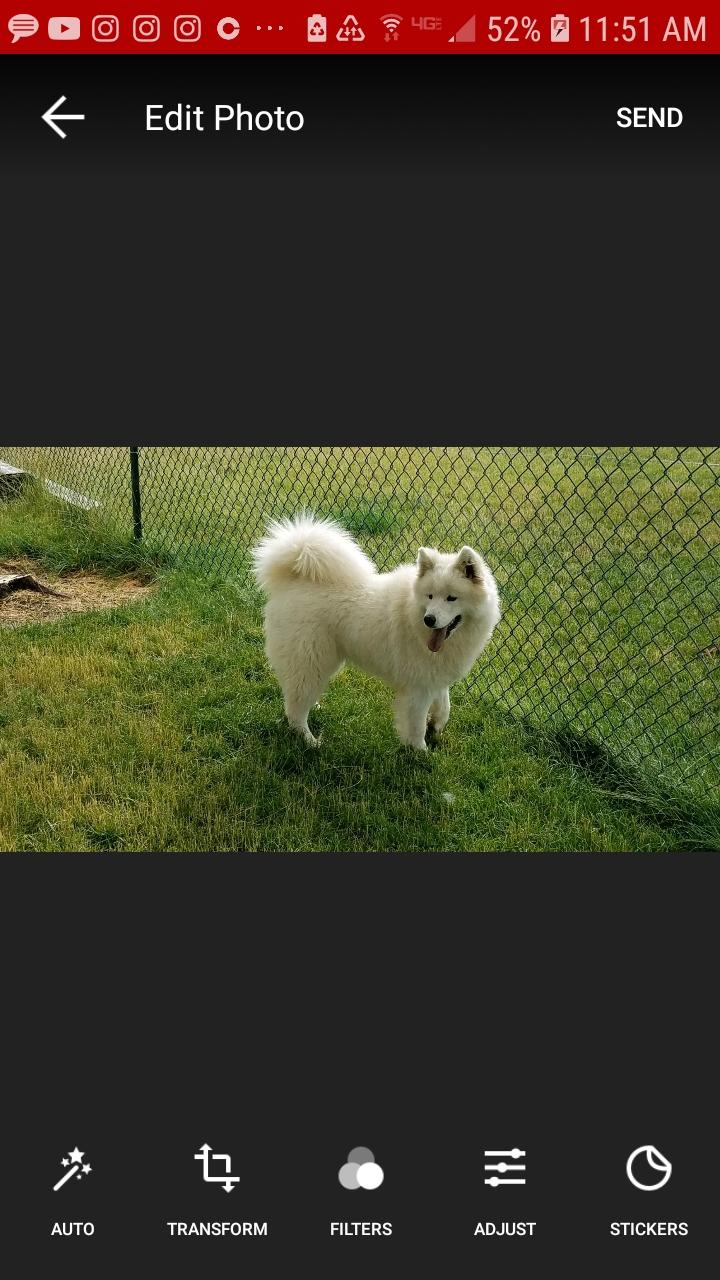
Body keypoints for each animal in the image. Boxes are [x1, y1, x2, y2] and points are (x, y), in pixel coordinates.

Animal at [252, 513, 501, 750]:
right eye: (430, 596)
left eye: (451, 598)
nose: (429, 619)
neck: (413, 614)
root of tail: (293, 579)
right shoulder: (417, 688)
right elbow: (416, 725)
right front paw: (420, 751)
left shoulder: (433, 675)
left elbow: (444, 704)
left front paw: (437, 725)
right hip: (308, 660)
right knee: (295, 711)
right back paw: (310, 741)